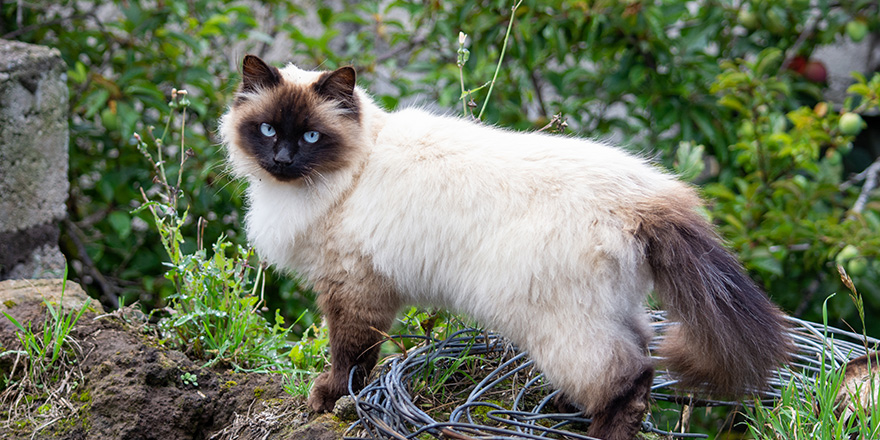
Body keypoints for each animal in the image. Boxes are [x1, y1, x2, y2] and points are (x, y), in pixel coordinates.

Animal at [220, 55, 792, 440]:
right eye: (267, 129)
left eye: (311, 138)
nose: (282, 160)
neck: (342, 175)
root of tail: (646, 193)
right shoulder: (361, 286)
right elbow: (360, 357)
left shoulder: (353, 287)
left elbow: (351, 358)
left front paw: (328, 398)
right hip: (608, 307)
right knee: (641, 353)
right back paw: (566, 409)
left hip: (552, 320)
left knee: (627, 378)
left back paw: (595, 429)